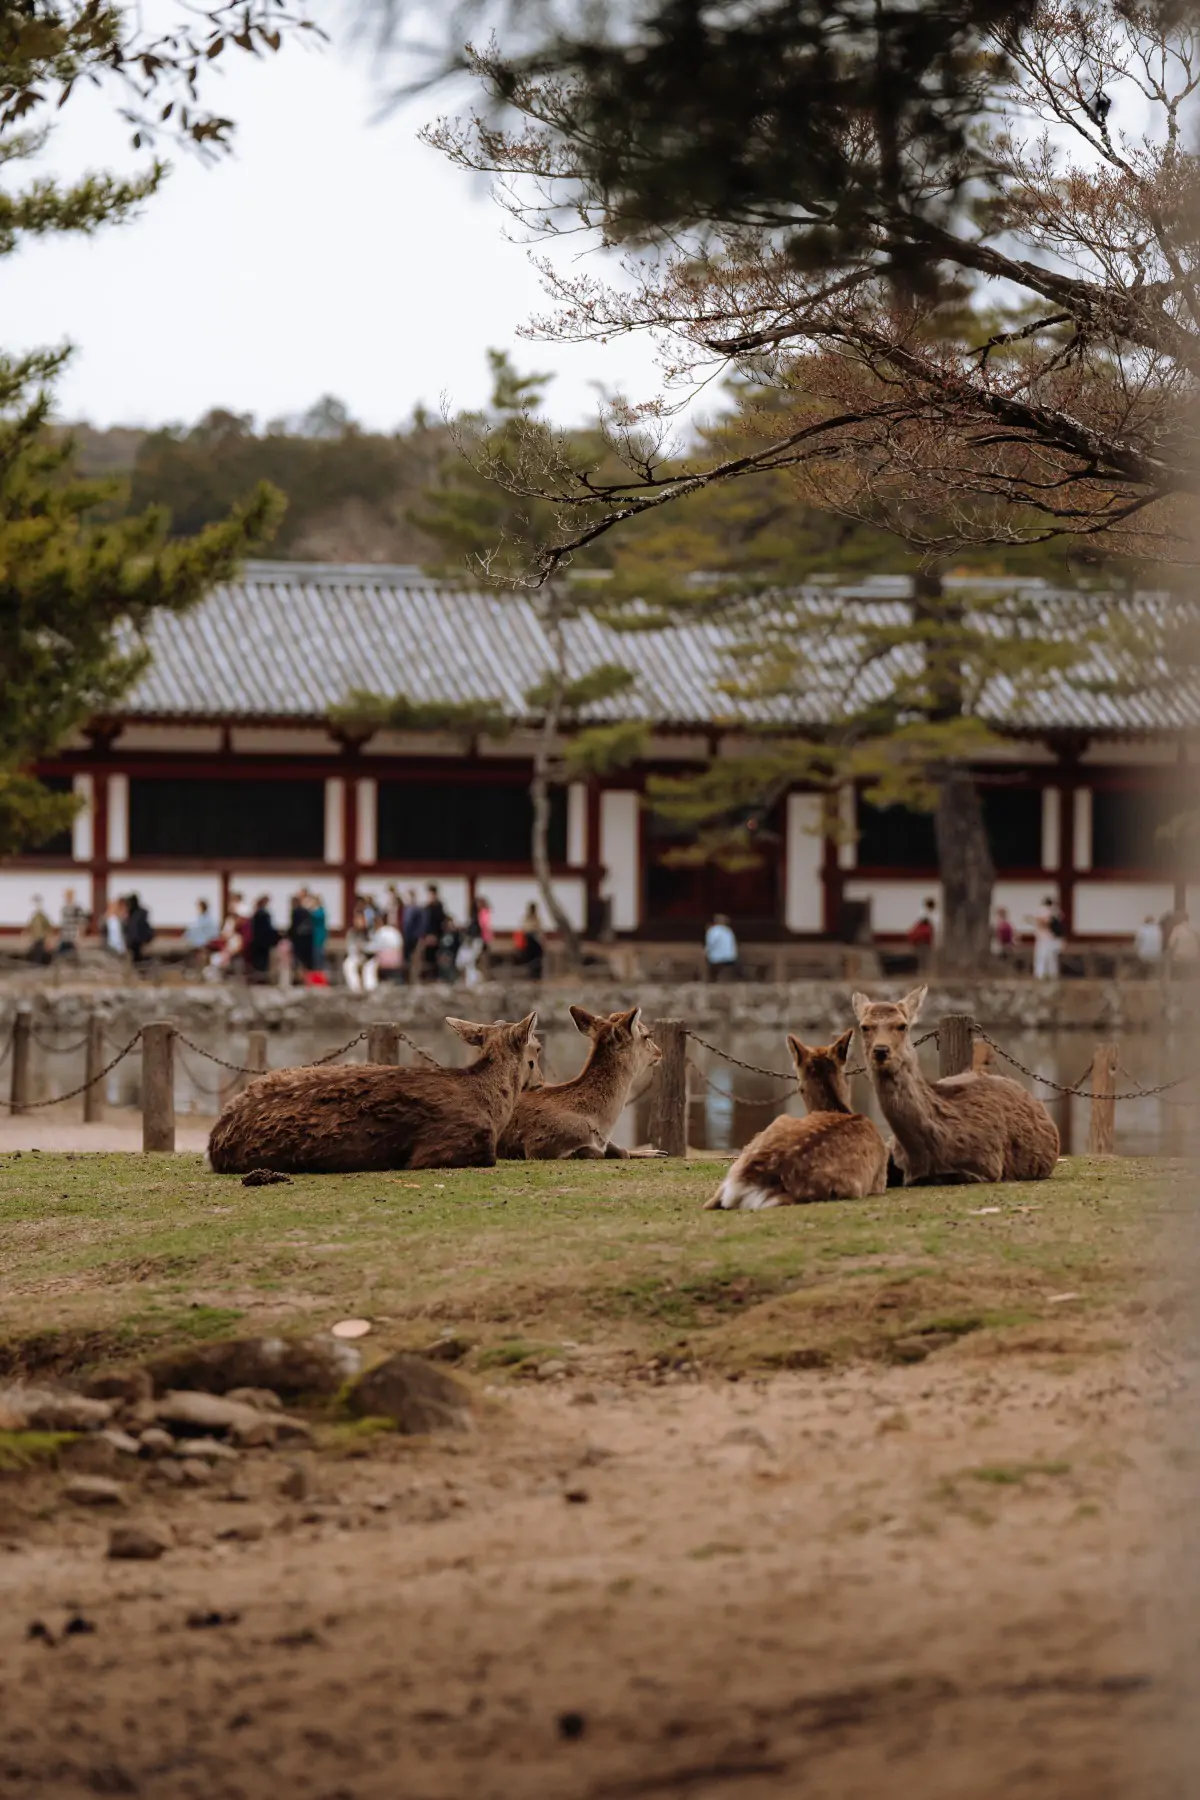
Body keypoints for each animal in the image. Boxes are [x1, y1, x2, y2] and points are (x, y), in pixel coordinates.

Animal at [496, 1008, 665, 1159]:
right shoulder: (536, 1144)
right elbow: (600, 1153)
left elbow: (621, 1151)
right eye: (646, 1036)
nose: (659, 1052)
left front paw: (654, 1152)